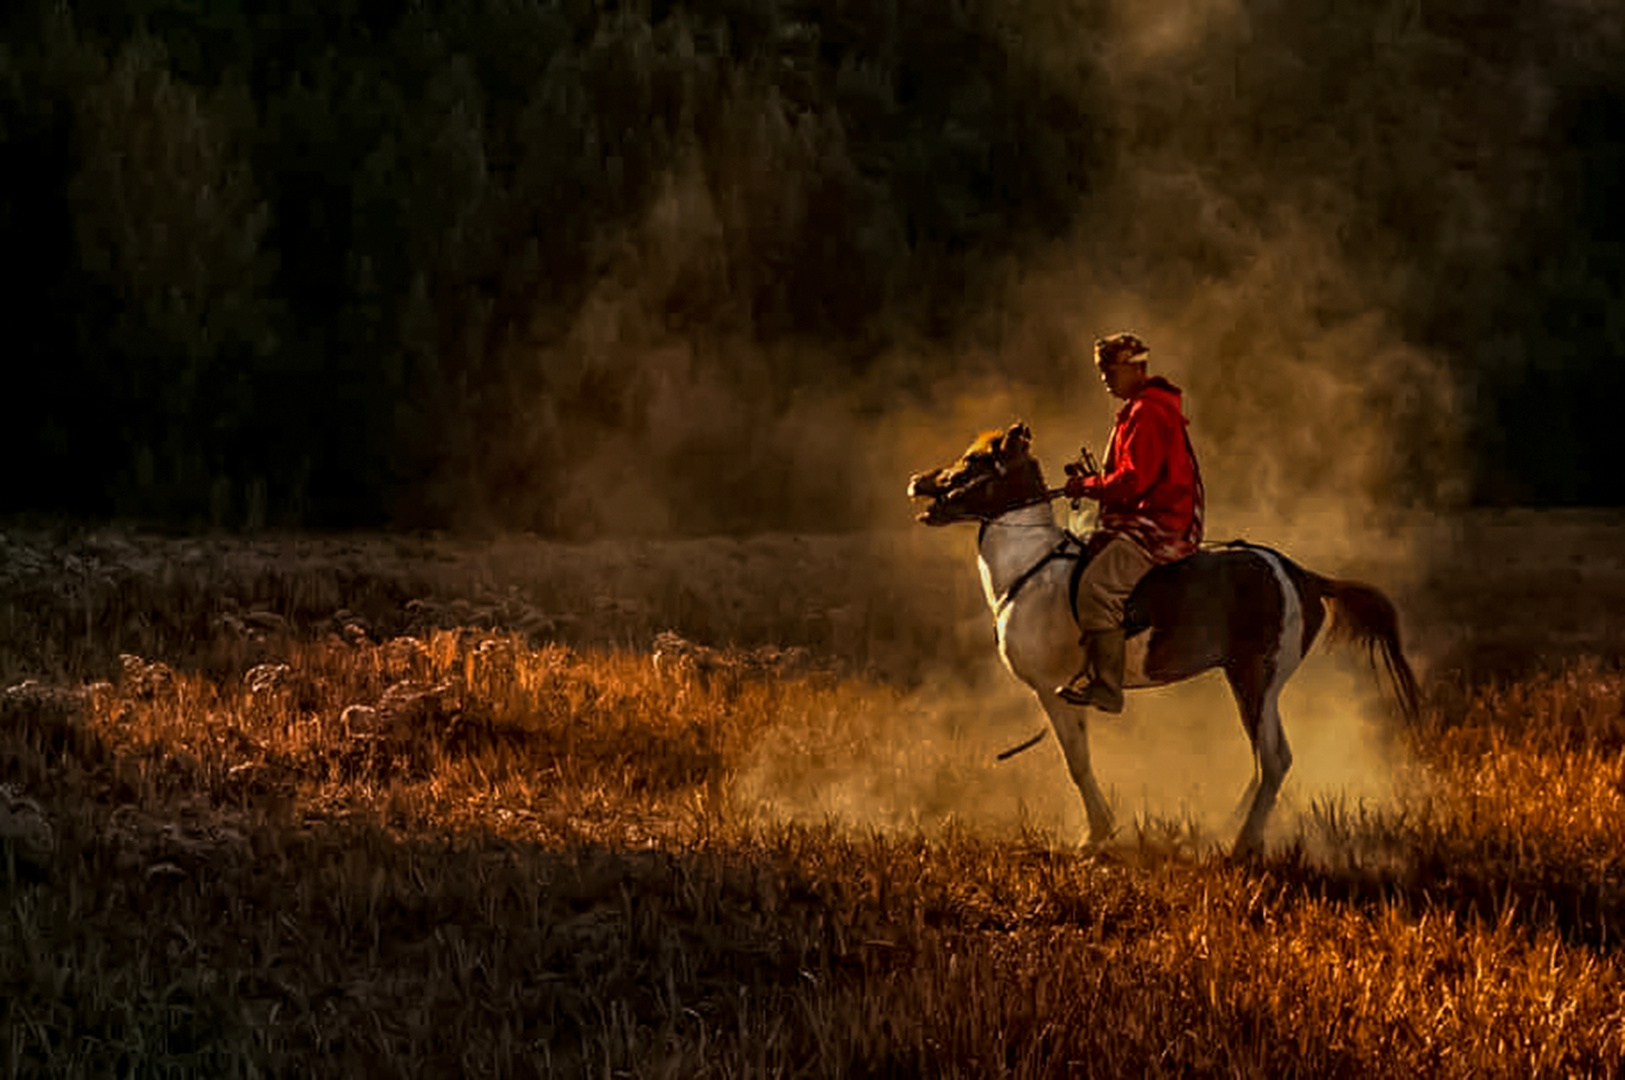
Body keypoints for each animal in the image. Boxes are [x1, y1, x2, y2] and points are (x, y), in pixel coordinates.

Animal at [910, 422, 1417, 851]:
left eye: (974, 460)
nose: (917, 480)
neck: (1031, 569)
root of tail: (1297, 573)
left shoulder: (1050, 689)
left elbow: (1077, 762)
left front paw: (1095, 836)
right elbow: (1082, 758)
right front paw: (1100, 830)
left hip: (1255, 679)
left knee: (1272, 761)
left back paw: (1241, 845)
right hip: (1258, 685)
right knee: (1272, 758)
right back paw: (1232, 826)